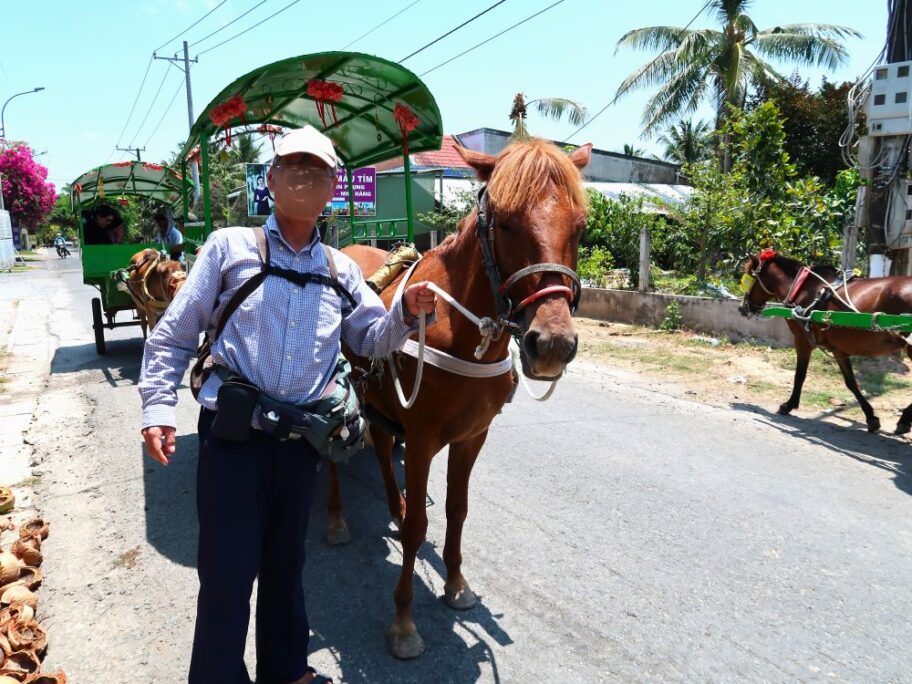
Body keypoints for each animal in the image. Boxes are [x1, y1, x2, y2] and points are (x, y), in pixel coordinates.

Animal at [736, 251, 912, 432]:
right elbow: (851, 382)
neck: (800, 288)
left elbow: (799, 375)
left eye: (747, 277)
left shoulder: (802, 341)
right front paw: (870, 416)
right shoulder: (838, 349)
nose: (743, 308)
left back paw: (904, 419)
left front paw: (789, 405)